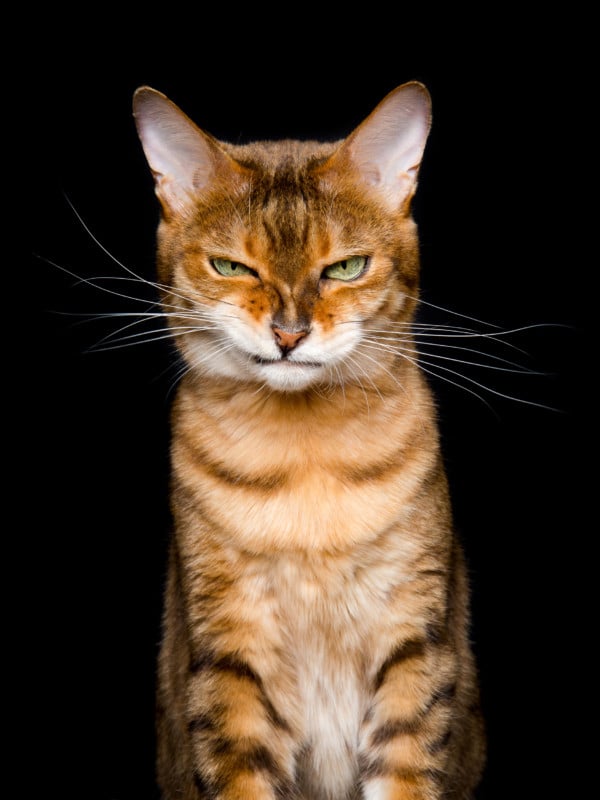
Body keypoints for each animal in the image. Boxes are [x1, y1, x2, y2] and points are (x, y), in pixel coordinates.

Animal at [134, 79, 486, 800]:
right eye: (231, 266)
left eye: (346, 268)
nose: (289, 334)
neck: (306, 466)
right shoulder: (230, 656)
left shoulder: (414, 647)